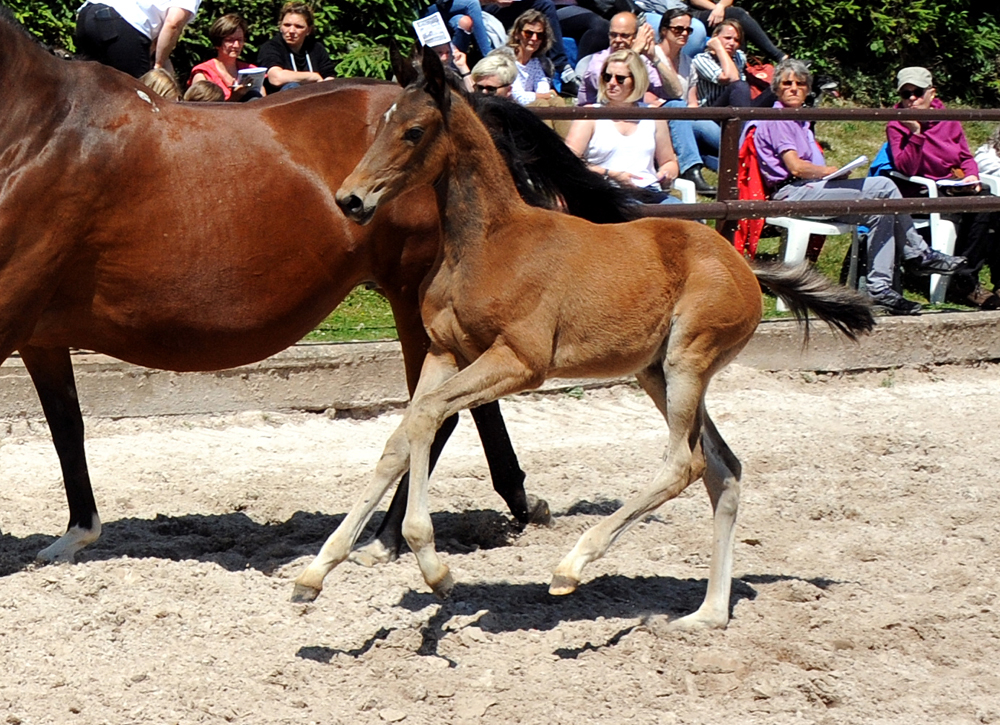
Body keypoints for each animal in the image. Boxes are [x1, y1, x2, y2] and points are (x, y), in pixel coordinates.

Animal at [0, 5, 572, 564]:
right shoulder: (40, 335)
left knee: (436, 414)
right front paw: (76, 533)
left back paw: (384, 538)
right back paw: (520, 504)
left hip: (413, 300)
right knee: (470, 405)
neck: (37, 129)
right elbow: (66, 426)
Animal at [294, 48, 876, 632]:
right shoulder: (446, 352)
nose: (349, 199)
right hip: (656, 372)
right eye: (381, 125)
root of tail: (745, 266)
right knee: (723, 471)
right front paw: (316, 573)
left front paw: (431, 564)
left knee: (684, 464)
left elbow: (428, 415)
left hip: (688, 361)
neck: (486, 246)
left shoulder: (520, 362)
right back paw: (707, 614)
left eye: (413, 131)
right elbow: (403, 434)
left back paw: (572, 565)